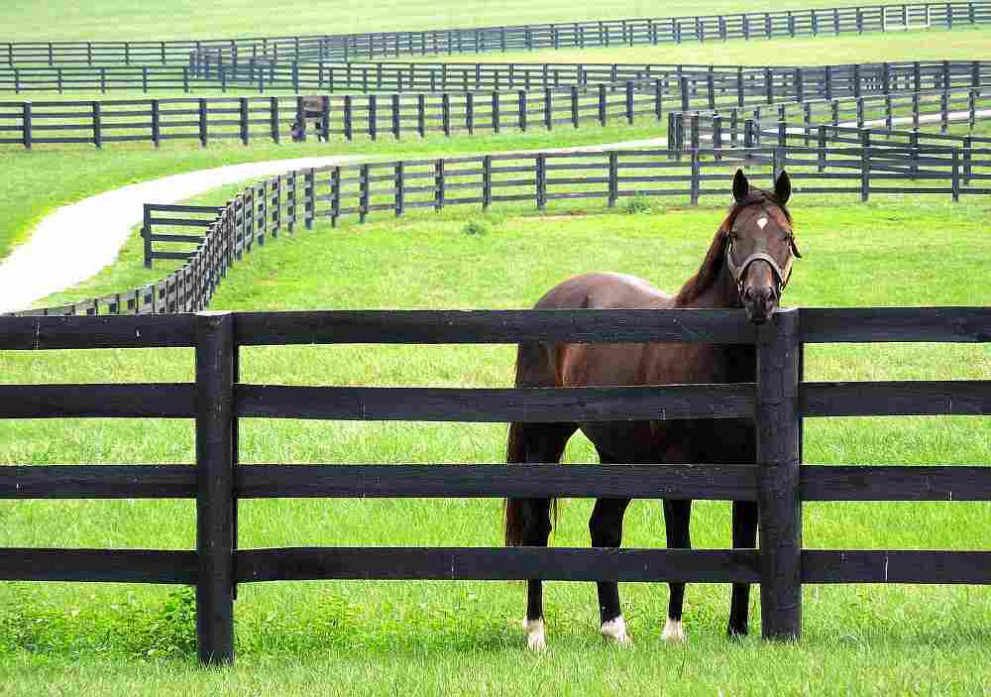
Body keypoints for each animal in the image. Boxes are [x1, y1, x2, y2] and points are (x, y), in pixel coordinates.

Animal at [508, 170, 804, 652]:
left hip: (619, 455)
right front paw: (674, 632)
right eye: (735, 236)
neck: (715, 355)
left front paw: (737, 630)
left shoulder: (746, 471)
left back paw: (615, 629)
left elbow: (743, 547)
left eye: (785, 236)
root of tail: (552, 299)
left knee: (603, 528)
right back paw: (536, 632)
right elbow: (679, 549)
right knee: (537, 530)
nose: (760, 297)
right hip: (545, 439)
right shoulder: (677, 471)